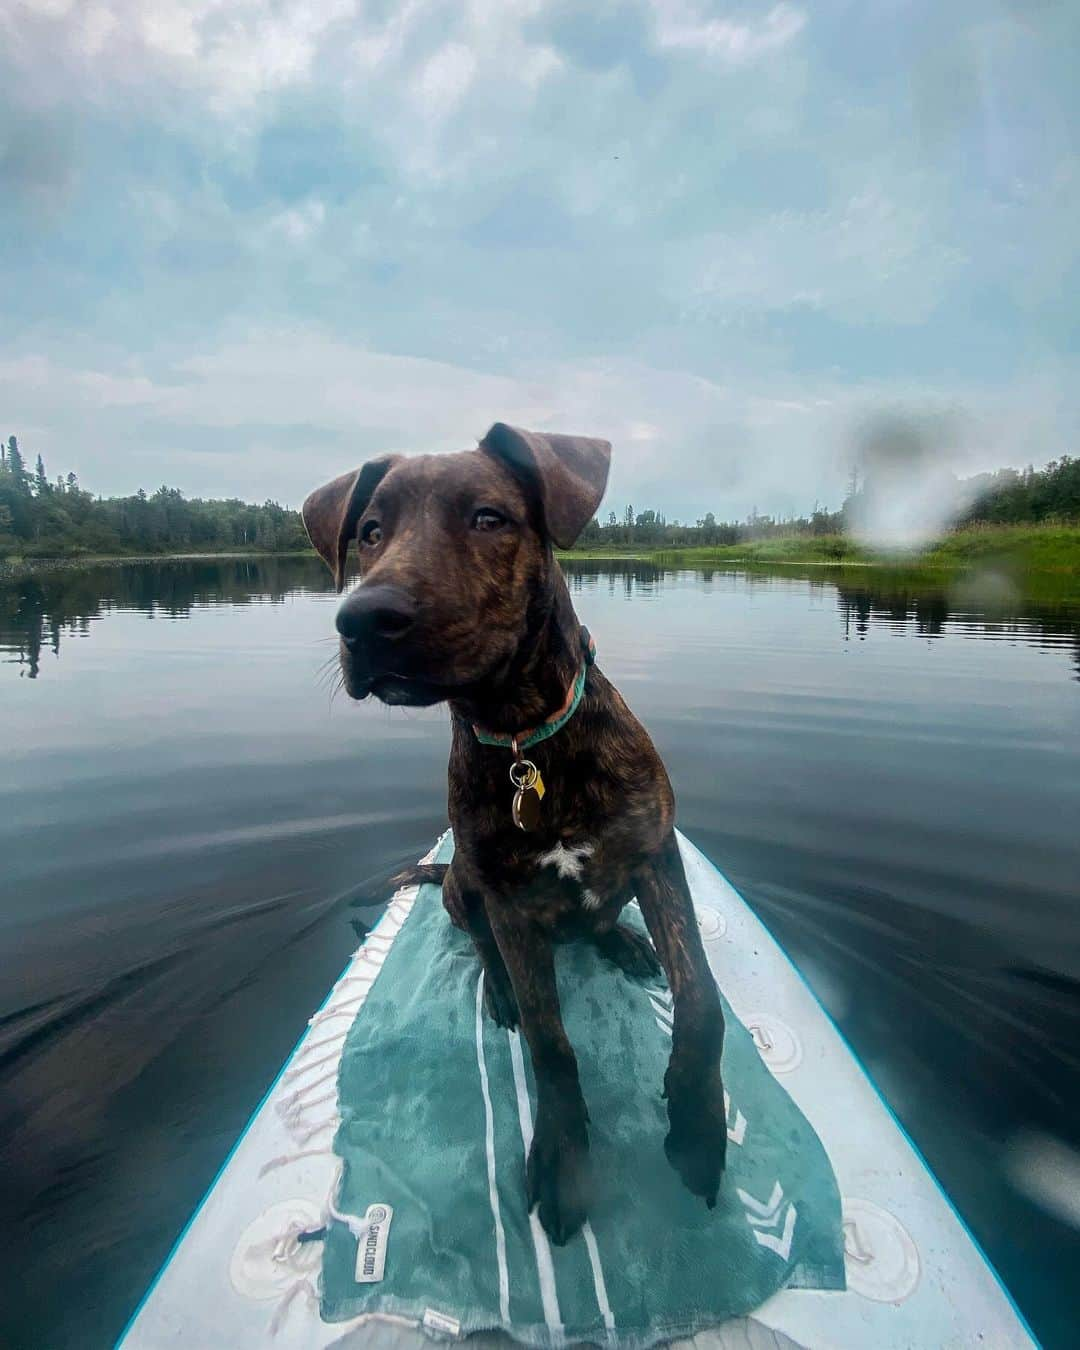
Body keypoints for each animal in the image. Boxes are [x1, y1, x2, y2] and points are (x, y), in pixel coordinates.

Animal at [303, 423, 723, 1242]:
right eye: (369, 533)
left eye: (489, 518)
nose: (362, 620)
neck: (527, 738)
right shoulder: (509, 901)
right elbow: (549, 1042)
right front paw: (564, 1157)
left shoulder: (658, 852)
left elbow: (702, 998)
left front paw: (699, 1127)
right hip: (463, 889)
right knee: (484, 951)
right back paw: (499, 991)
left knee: (604, 924)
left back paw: (624, 944)